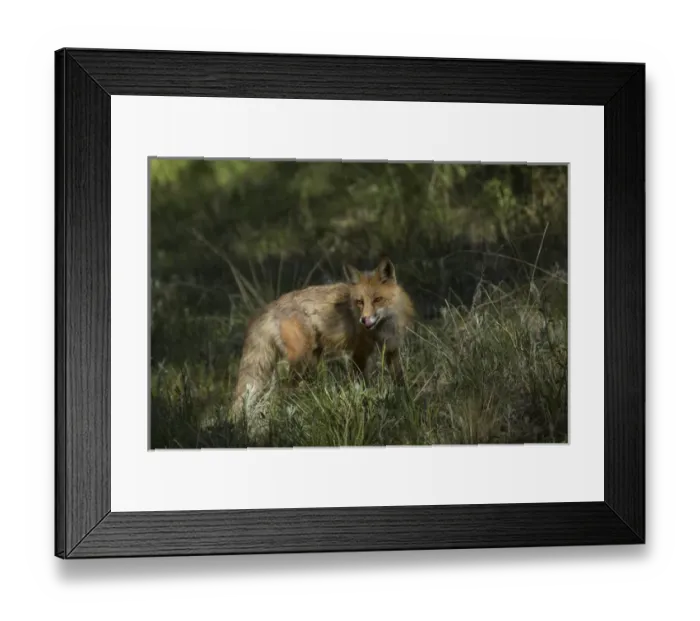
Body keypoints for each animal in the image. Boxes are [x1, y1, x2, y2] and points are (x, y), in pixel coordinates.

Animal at [232, 256, 414, 431]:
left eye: (378, 300)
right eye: (360, 302)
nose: (364, 320)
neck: (383, 328)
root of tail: (272, 305)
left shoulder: (391, 349)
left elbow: (400, 382)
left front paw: (405, 403)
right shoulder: (359, 353)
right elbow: (362, 388)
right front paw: (366, 409)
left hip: (310, 362)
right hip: (300, 363)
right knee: (276, 396)